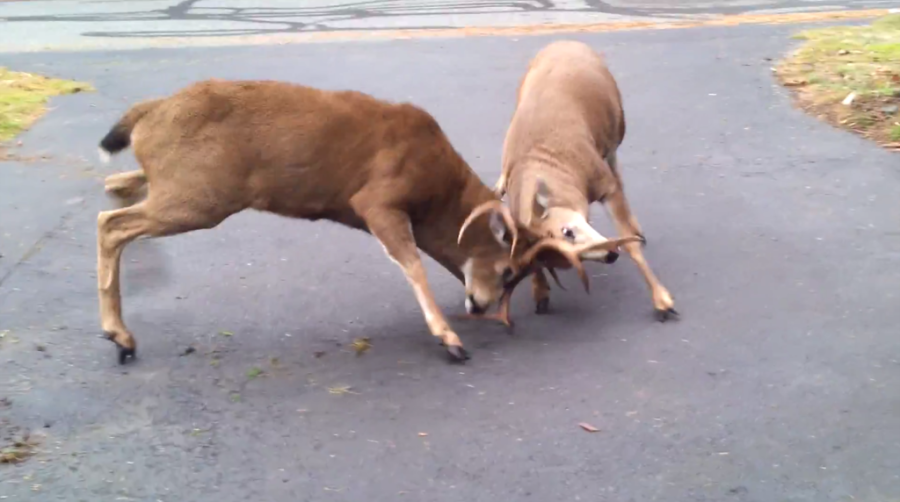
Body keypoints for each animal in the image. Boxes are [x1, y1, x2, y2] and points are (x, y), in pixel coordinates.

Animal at [93, 77, 632, 364]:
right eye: (506, 270)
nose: (478, 306)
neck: (438, 192)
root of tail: (148, 114)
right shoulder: (376, 198)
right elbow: (413, 264)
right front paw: (450, 340)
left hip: (180, 185)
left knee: (116, 188)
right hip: (199, 196)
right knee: (110, 222)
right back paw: (120, 336)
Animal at [492, 40, 676, 322]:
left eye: (567, 231)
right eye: (552, 259)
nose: (611, 255)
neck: (546, 161)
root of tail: (564, 42)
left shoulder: (604, 185)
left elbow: (630, 242)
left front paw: (662, 301)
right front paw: (541, 295)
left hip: (615, 131)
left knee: (617, 169)